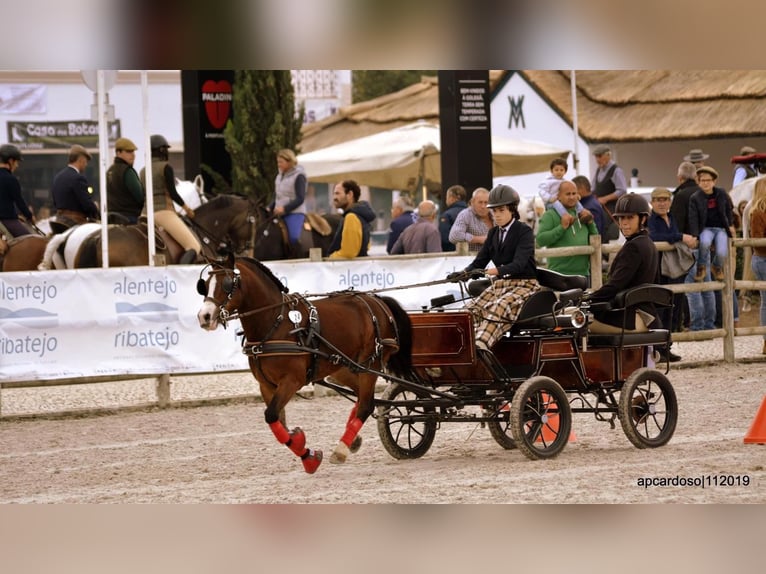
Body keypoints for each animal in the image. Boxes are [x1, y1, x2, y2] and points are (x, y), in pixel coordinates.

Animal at [198, 254, 414, 474]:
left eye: (227, 284)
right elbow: (278, 423)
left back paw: (341, 450)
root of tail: (378, 302)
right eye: (205, 285)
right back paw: (352, 440)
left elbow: (271, 415)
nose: (204, 316)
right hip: (343, 368)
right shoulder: (266, 385)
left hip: (370, 365)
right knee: (362, 397)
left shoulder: (292, 381)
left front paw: (308, 456)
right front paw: (303, 448)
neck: (275, 323)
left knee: (366, 404)